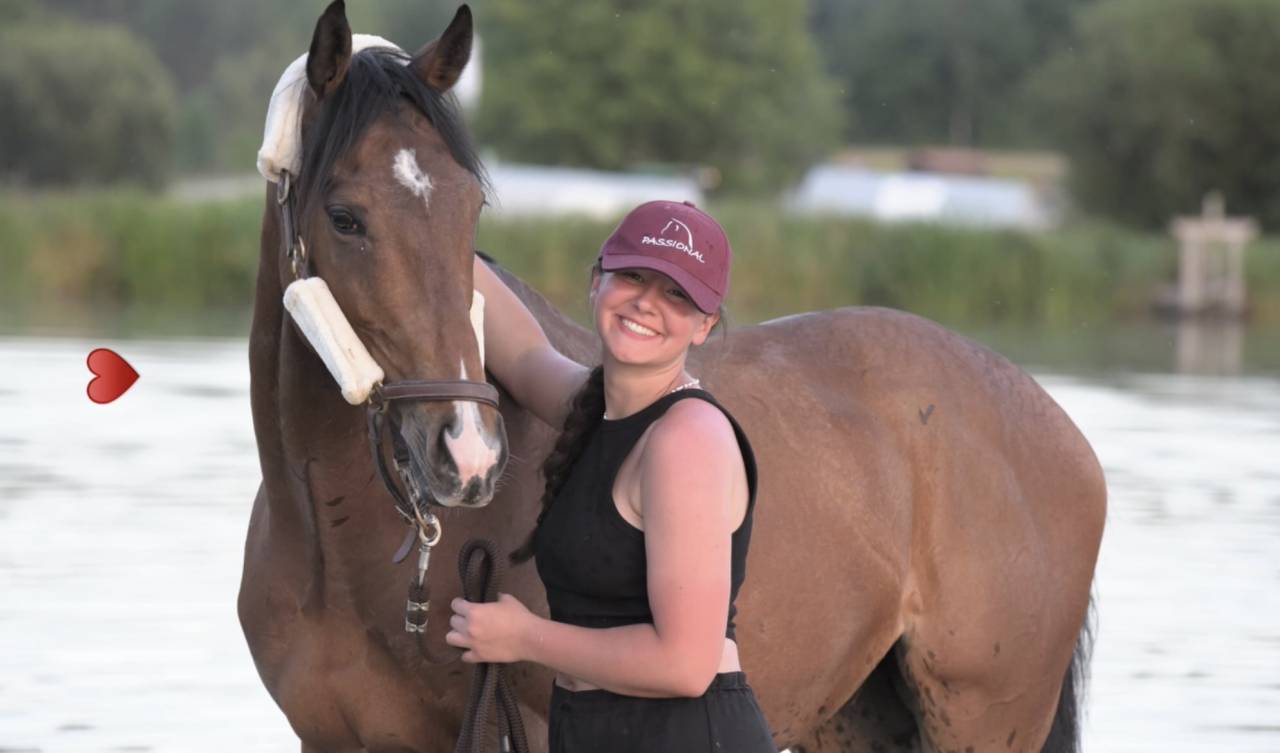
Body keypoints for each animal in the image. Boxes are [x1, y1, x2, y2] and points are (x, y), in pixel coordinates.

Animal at [239, 3, 1106, 752]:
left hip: (985, 720)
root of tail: (1058, 428)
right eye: (345, 217)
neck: (341, 550)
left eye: (468, 209)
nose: (468, 453)